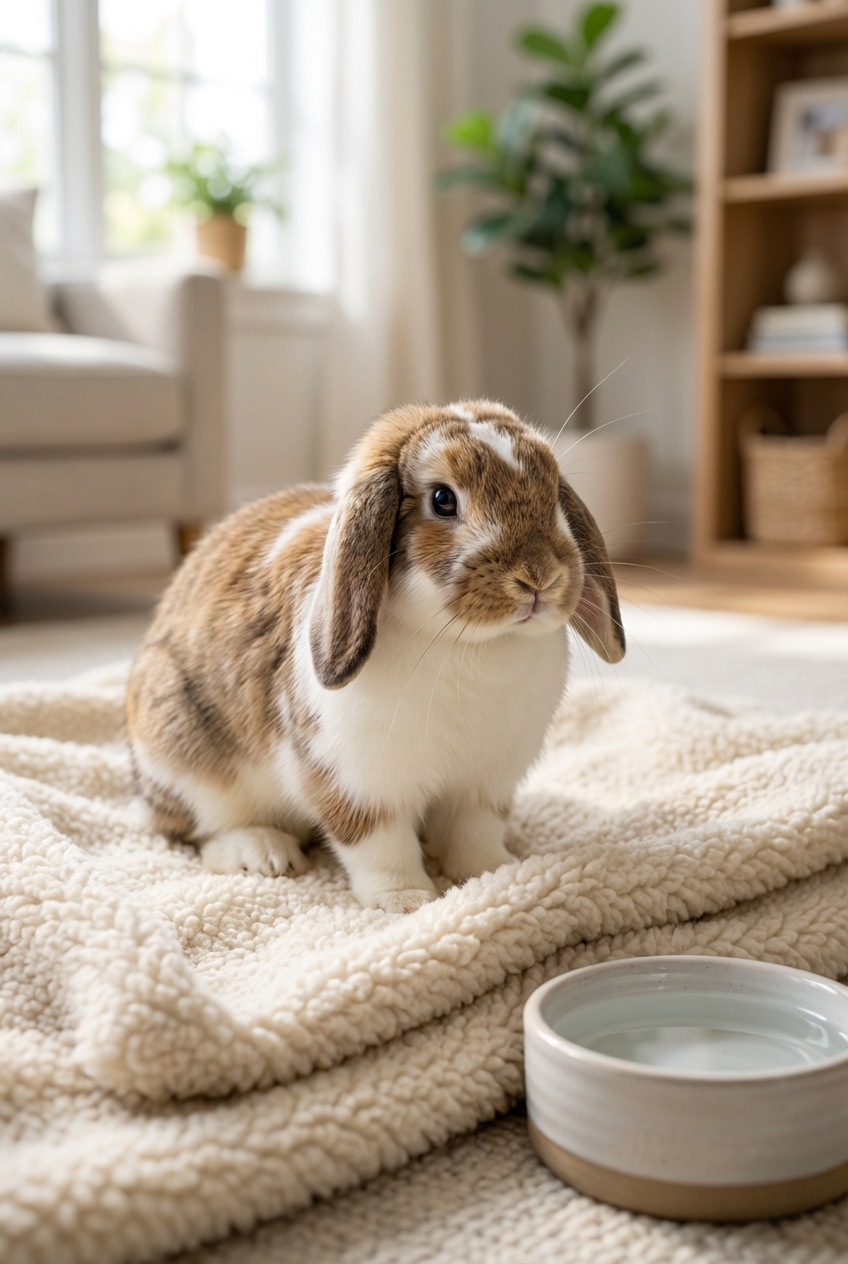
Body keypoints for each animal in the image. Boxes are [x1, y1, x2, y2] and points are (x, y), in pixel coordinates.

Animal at [126, 400, 625, 913]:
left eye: (552, 491)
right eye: (443, 499)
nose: (540, 577)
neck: (472, 643)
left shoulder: (484, 785)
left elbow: (474, 835)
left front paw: (493, 873)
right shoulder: (357, 783)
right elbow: (378, 844)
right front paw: (405, 901)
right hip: (187, 759)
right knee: (202, 830)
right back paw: (263, 853)